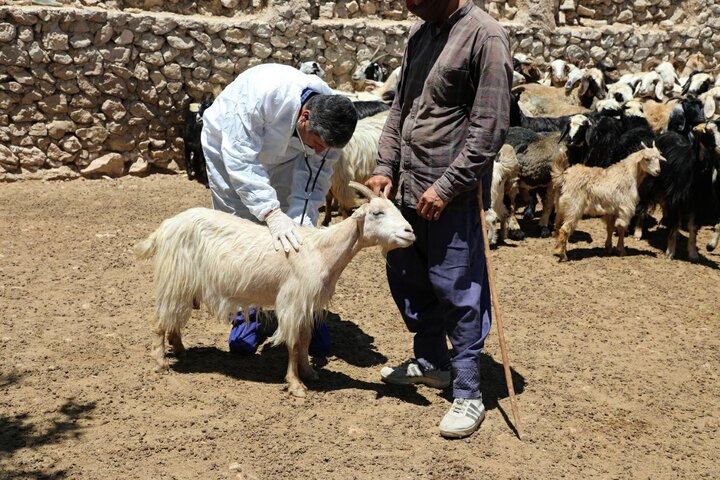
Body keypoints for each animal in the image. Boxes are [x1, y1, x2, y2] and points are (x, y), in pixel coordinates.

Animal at [136, 184, 416, 398]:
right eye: (377, 212)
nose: (409, 232)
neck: (321, 252)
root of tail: (164, 228)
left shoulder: (308, 303)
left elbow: (305, 340)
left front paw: (309, 372)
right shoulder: (294, 301)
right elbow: (292, 343)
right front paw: (296, 385)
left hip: (184, 282)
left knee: (173, 316)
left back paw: (180, 349)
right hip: (175, 276)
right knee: (159, 319)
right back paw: (160, 361)